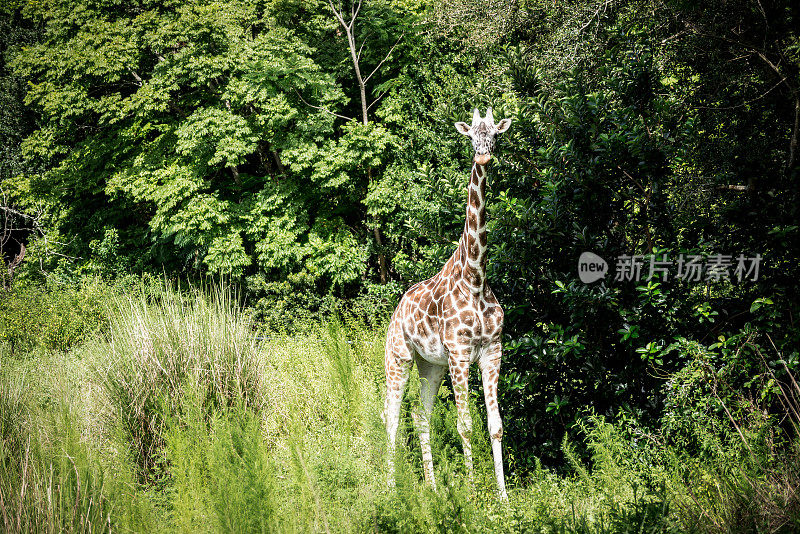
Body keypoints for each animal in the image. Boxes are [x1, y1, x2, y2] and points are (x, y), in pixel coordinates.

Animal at [382, 107, 510, 500]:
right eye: (471, 136)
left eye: (494, 135)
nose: (483, 156)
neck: (476, 278)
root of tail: (396, 310)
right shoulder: (459, 352)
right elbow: (464, 423)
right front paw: (472, 492)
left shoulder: (492, 350)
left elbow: (495, 425)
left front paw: (504, 498)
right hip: (399, 357)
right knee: (390, 416)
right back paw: (391, 489)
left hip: (430, 366)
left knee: (419, 415)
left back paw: (433, 487)